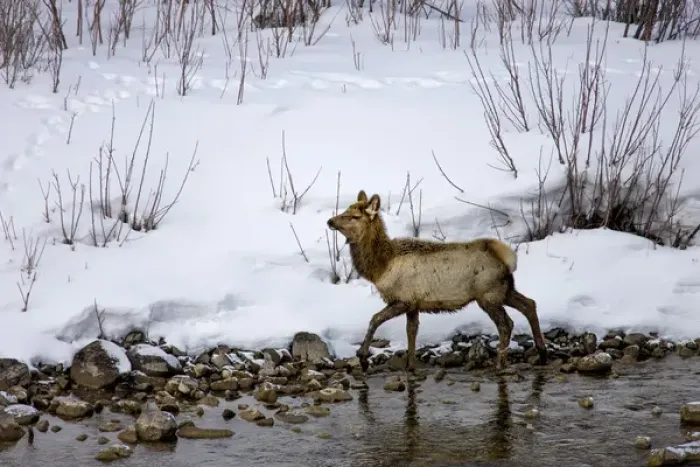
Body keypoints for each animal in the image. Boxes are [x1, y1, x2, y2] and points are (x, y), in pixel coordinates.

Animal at [326, 190, 548, 374]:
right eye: (345, 210)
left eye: (354, 216)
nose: (330, 221)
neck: (380, 268)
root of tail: (506, 258)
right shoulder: (413, 304)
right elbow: (412, 332)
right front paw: (410, 365)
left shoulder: (403, 299)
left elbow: (375, 319)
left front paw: (363, 358)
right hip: (504, 289)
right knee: (529, 304)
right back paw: (542, 352)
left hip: (488, 295)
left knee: (506, 323)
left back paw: (501, 364)